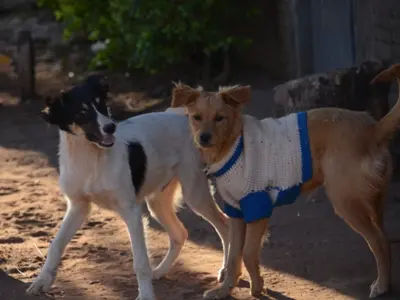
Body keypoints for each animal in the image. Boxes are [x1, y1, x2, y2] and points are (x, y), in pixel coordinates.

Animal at [26, 76, 228, 298]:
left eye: (102, 105)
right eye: (81, 112)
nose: (110, 127)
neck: (91, 159)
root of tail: (183, 116)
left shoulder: (131, 210)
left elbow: (140, 261)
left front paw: (146, 295)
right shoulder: (78, 206)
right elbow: (56, 245)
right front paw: (42, 281)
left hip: (195, 192)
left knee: (225, 225)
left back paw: (226, 272)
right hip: (158, 201)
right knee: (180, 233)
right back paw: (161, 271)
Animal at [170, 64, 400, 298]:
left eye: (219, 118)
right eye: (196, 117)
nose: (204, 137)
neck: (233, 145)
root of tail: (372, 128)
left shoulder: (258, 206)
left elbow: (248, 253)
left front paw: (257, 286)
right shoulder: (236, 211)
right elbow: (234, 255)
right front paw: (226, 289)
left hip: (346, 202)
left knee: (379, 242)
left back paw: (381, 285)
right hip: (373, 203)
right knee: (385, 239)